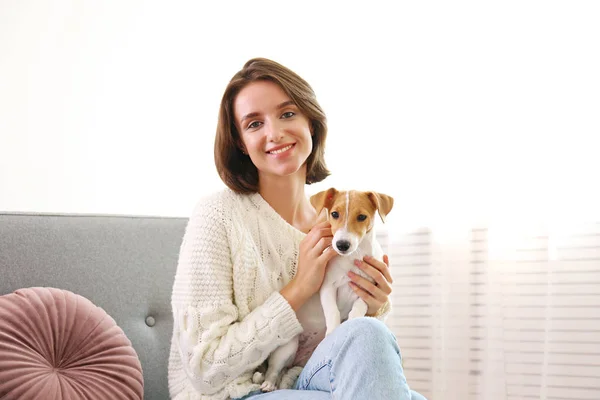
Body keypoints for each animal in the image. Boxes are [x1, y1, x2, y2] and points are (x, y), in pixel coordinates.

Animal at [256, 187, 394, 390]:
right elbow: (332, 312)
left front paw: (351, 321)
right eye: (335, 214)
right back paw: (268, 383)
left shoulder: (367, 288)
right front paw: (333, 331)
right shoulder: (327, 287)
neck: (352, 257)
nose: (342, 245)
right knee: (274, 370)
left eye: (362, 217)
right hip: (287, 348)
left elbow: (358, 309)